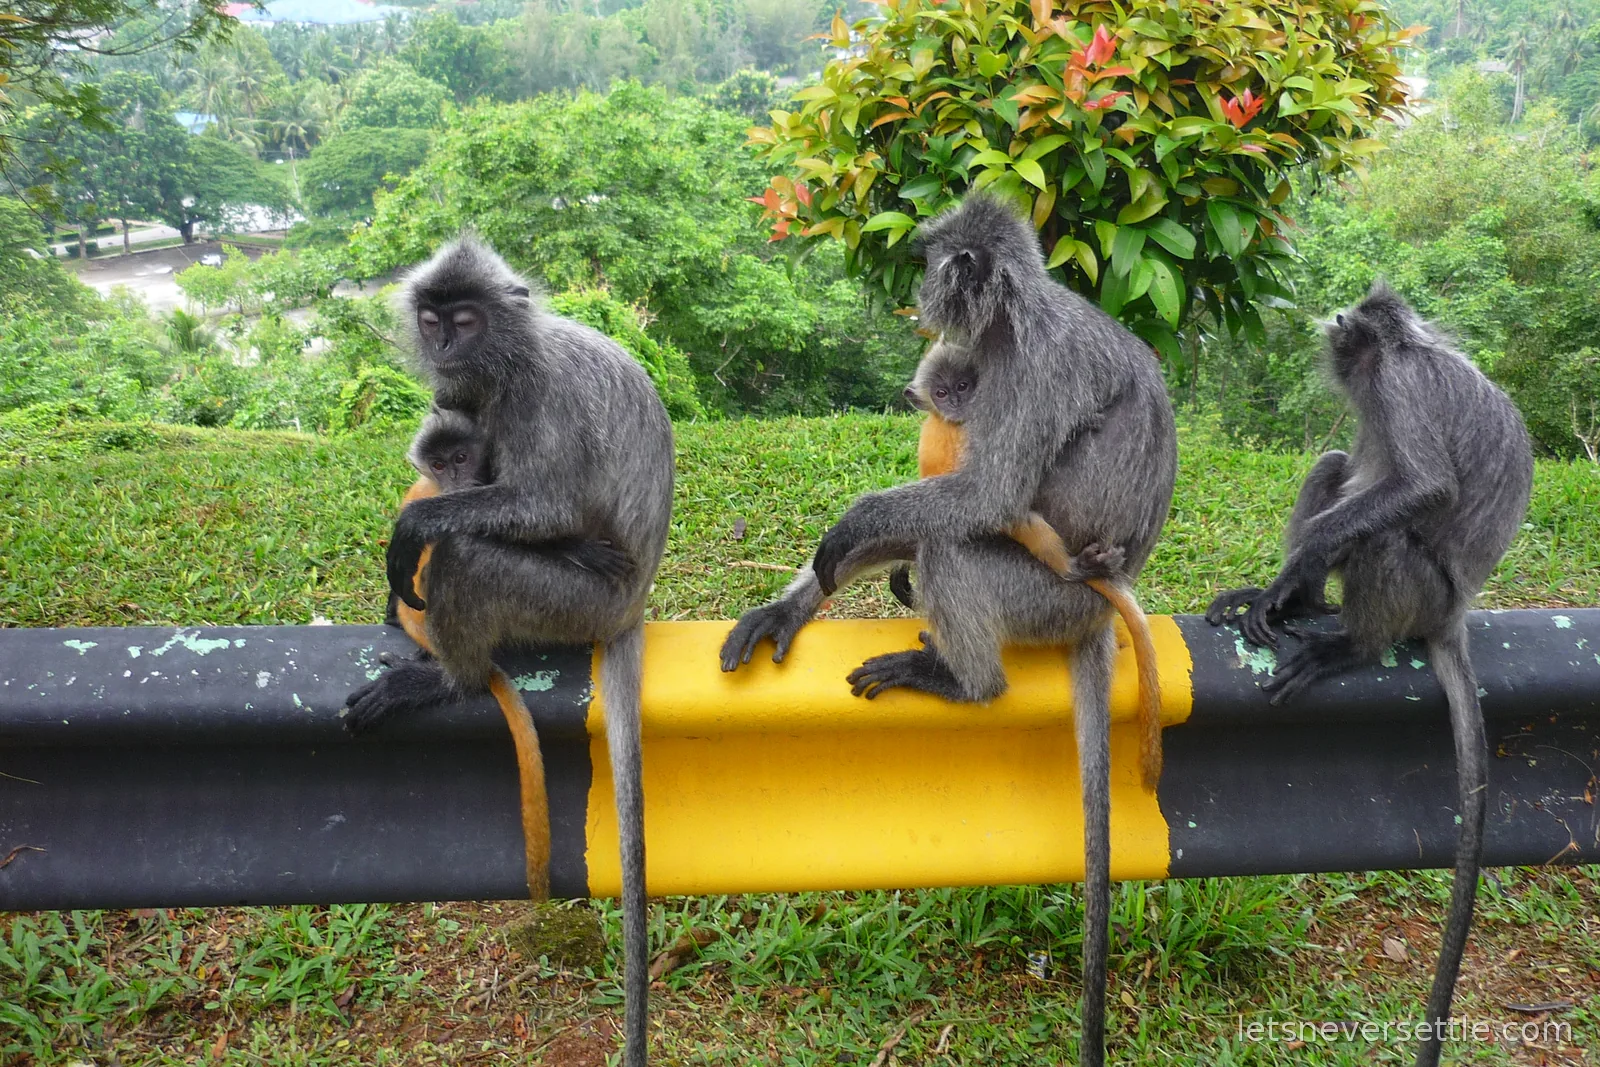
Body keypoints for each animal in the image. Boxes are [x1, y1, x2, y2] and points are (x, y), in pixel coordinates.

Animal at [342, 238, 673, 1067]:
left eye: (464, 320)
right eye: (432, 320)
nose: (441, 346)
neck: (515, 357)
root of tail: (632, 606)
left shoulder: (536, 399)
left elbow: (546, 503)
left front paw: (415, 528)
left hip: (571, 602)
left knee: (468, 554)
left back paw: (449, 678)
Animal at [1205, 283, 1532, 1067]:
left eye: (1352, 319)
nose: (1335, 322)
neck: (1404, 348)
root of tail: (1455, 616)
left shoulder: (1397, 383)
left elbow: (1423, 486)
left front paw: (1292, 577)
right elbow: (1353, 474)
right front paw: (1280, 590)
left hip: (1424, 594)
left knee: (1382, 533)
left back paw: (1349, 643)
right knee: (1335, 468)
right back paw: (1303, 604)